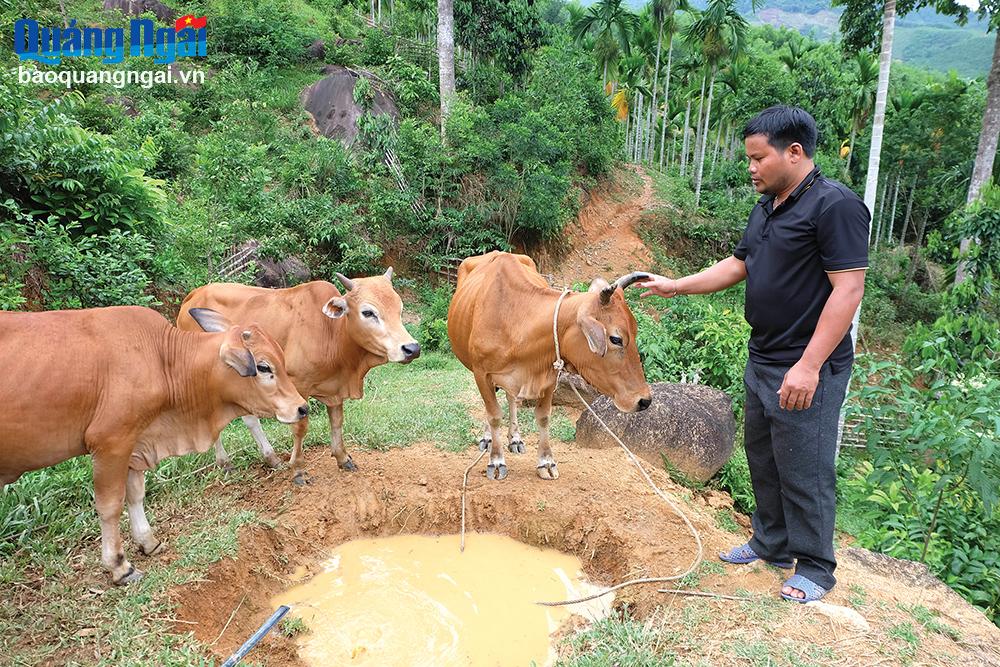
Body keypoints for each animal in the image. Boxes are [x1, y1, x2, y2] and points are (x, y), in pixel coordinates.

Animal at [0, 308, 304, 584]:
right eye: (263, 367)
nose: (302, 408)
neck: (164, 360)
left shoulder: (136, 442)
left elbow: (135, 495)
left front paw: (148, 541)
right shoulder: (111, 442)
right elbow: (110, 505)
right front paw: (119, 566)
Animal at [176, 268, 418, 482]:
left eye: (399, 309)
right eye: (368, 312)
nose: (412, 348)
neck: (330, 331)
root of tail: (193, 295)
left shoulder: (334, 389)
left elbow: (337, 421)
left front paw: (342, 458)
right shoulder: (298, 386)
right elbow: (300, 428)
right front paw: (298, 470)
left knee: (249, 418)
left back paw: (271, 458)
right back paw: (225, 463)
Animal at [448, 250, 652, 480]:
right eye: (616, 339)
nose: (644, 400)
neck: (516, 320)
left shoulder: (549, 377)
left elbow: (543, 417)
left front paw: (546, 462)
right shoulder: (482, 373)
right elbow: (494, 415)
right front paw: (497, 460)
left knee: (511, 398)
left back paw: (515, 438)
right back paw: (488, 438)